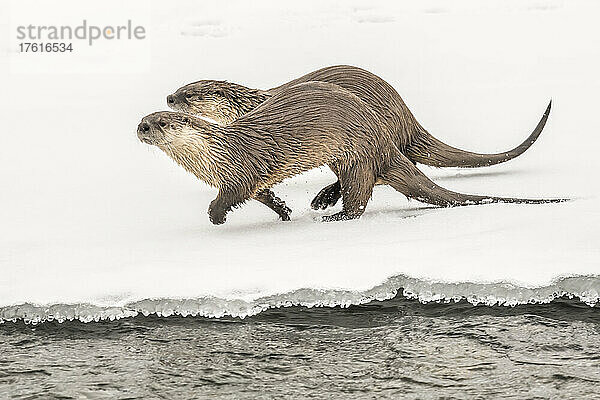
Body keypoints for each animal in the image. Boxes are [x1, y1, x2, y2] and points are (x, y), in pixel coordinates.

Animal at [139, 81, 564, 225]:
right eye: (144, 119)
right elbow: (264, 195)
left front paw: (215, 216)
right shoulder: (246, 179)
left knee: (360, 197)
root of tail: (387, 141)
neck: (211, 155)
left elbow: (232, 195)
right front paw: (284, 211)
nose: (141, 128)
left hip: (354, 156)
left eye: (162, 122)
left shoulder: (239, 170)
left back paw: (333, 214)